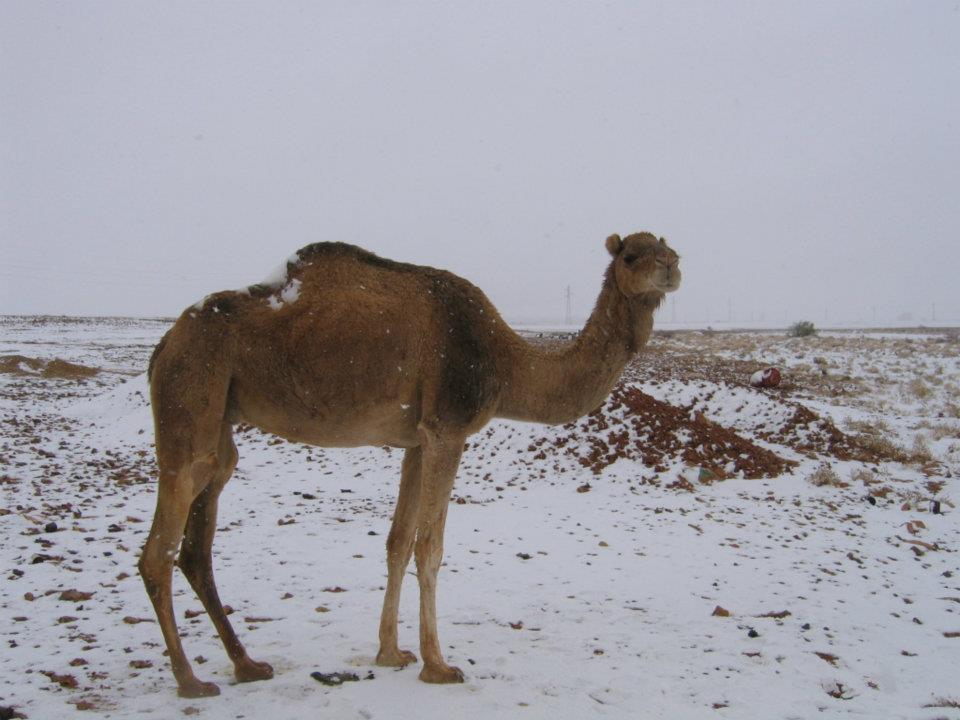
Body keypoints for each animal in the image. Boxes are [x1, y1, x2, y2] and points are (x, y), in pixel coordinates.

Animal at [141, 231, 684, 696]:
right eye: (630, 256)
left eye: (669, 248)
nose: (672, 268)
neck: (506, 364)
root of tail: (164, 345)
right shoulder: (448, 428)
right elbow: (430, 547)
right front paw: (438, 665)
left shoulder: (416, 441)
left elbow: (398, 542)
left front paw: (391, 653)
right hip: (190, 395)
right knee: (159, 550)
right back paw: (190, 681)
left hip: (220, 425)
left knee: (197, 543)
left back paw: (247, 664)